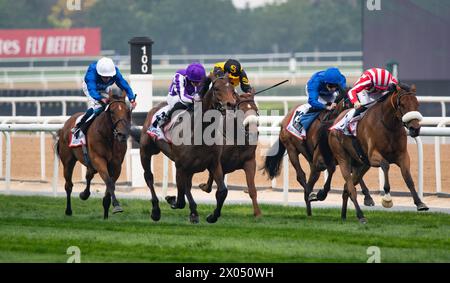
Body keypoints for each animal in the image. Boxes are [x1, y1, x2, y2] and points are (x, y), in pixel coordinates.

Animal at [55, 90, 130, 220]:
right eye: (112, 111)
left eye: (127, 111)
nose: (122, 134)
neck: (108, 137)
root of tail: (65, 125)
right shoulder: (99, 160)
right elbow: (109, 182)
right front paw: (116, 206)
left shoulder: (116, 165)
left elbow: (110, 185)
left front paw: (106, 214)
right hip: (68, 161)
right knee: (68, 185)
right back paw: (68, 211)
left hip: (90, 163)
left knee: (88, 175)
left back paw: (84, 194)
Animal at [133, 73, 236, 224]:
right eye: (216, 88)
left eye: (233, 89)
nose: (231, 104)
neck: (199, 132)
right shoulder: (181, 166)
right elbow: (182, 196)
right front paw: (174, 201)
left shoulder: (214, 163)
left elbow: (222, 191)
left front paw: (212, 216)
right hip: (146, 151)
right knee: (149, 177)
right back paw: (156, 211)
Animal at [324, 84, 428, 224]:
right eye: (402, 104)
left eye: (417, 104)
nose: (415, 129)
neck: (389, 126)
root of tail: (337, 119)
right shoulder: (373, 156)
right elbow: (385, 165)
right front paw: (387, 197)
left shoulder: (403, 156)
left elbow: (408, 178)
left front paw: (419, 203)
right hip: (343, 158)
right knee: (351, 188)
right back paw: (361, 215)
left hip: (361, 165)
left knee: (347, 188)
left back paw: (344, 215)